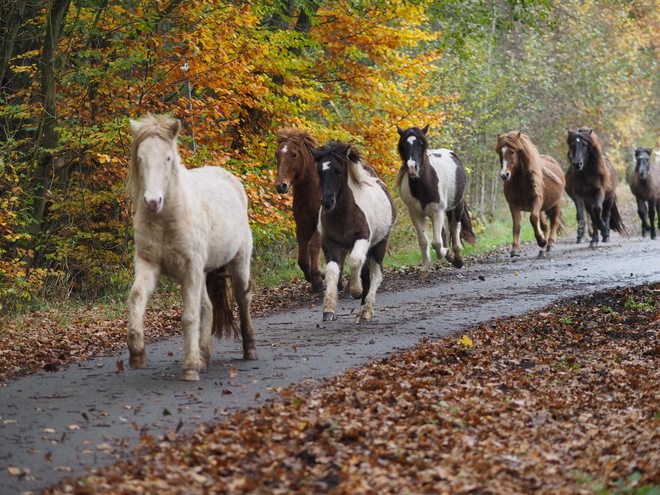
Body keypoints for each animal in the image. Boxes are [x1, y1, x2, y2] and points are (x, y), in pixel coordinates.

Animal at [127, 114, 256, 382]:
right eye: (140, 158)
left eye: (168, 158)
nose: (152, 202)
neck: (166, 219)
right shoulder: (148, 265)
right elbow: (136, 298)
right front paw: (137, 353)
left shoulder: (190, 269)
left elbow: (189, 316)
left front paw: (189, 368)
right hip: (203, 272)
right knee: (207, 307)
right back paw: (203, 357)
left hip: (238, 263)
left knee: (242, 298)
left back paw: (249, 349)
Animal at [274, 128, 324, 292]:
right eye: (277, 154)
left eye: (294, 154)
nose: (280, 185)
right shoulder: (301, 227)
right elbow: (302, 258)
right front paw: (312, 278)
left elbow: (313, 246)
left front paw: (318, 278)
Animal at [398, 125, 474, 276]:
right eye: (403, 146)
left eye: (421, 144)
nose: (411, 168)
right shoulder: (416, 214)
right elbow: (424, 241)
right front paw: (426, 267)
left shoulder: (437, 212)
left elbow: (437, 242)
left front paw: (446, 252)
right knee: (444, 231)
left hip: (457, 206)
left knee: (454, 228)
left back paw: (458, 259)